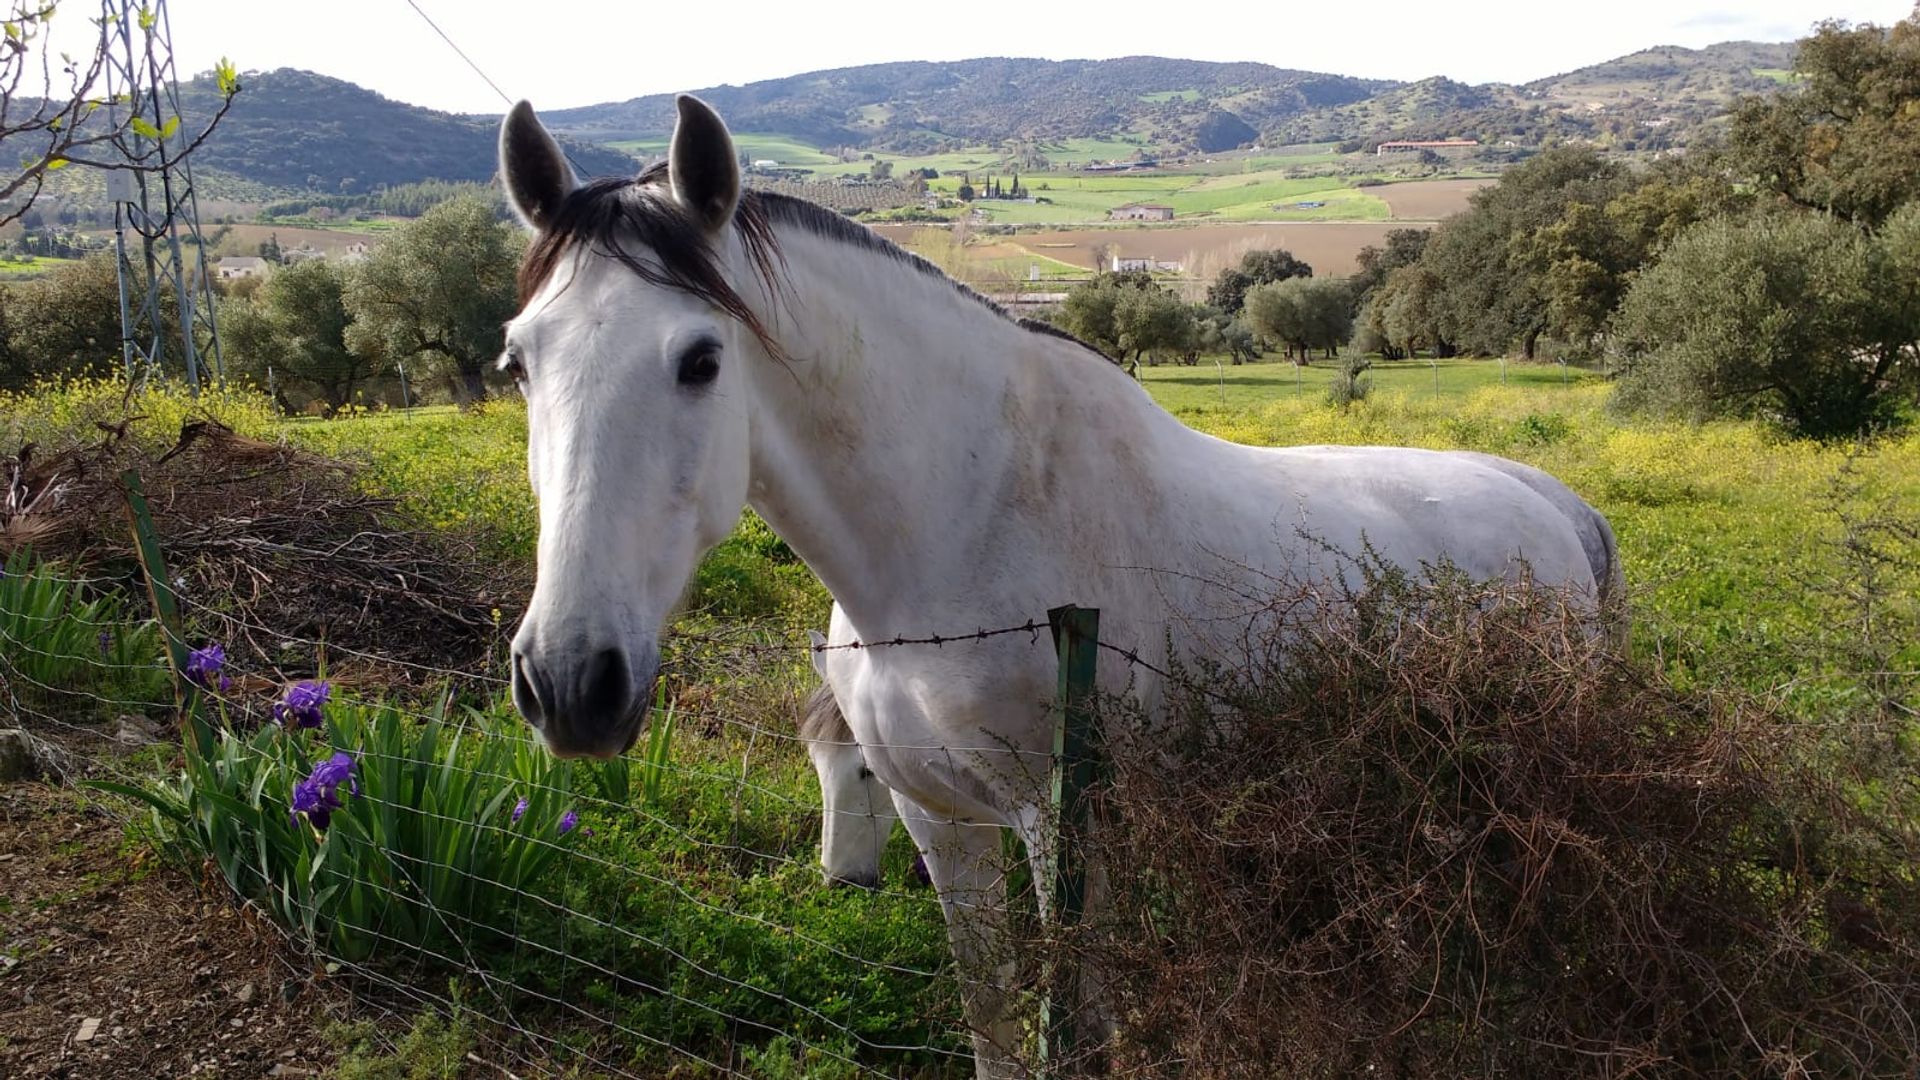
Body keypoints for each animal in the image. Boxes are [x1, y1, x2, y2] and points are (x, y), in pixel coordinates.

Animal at [495, 96, 1620, 1068]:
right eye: (517, 362)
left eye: (700, 360)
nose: (570, 682)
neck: (960, 531)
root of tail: (1552, 505)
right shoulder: (942, 823)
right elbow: (994, 1017)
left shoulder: (1061, 827)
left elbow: (1084, 1022)